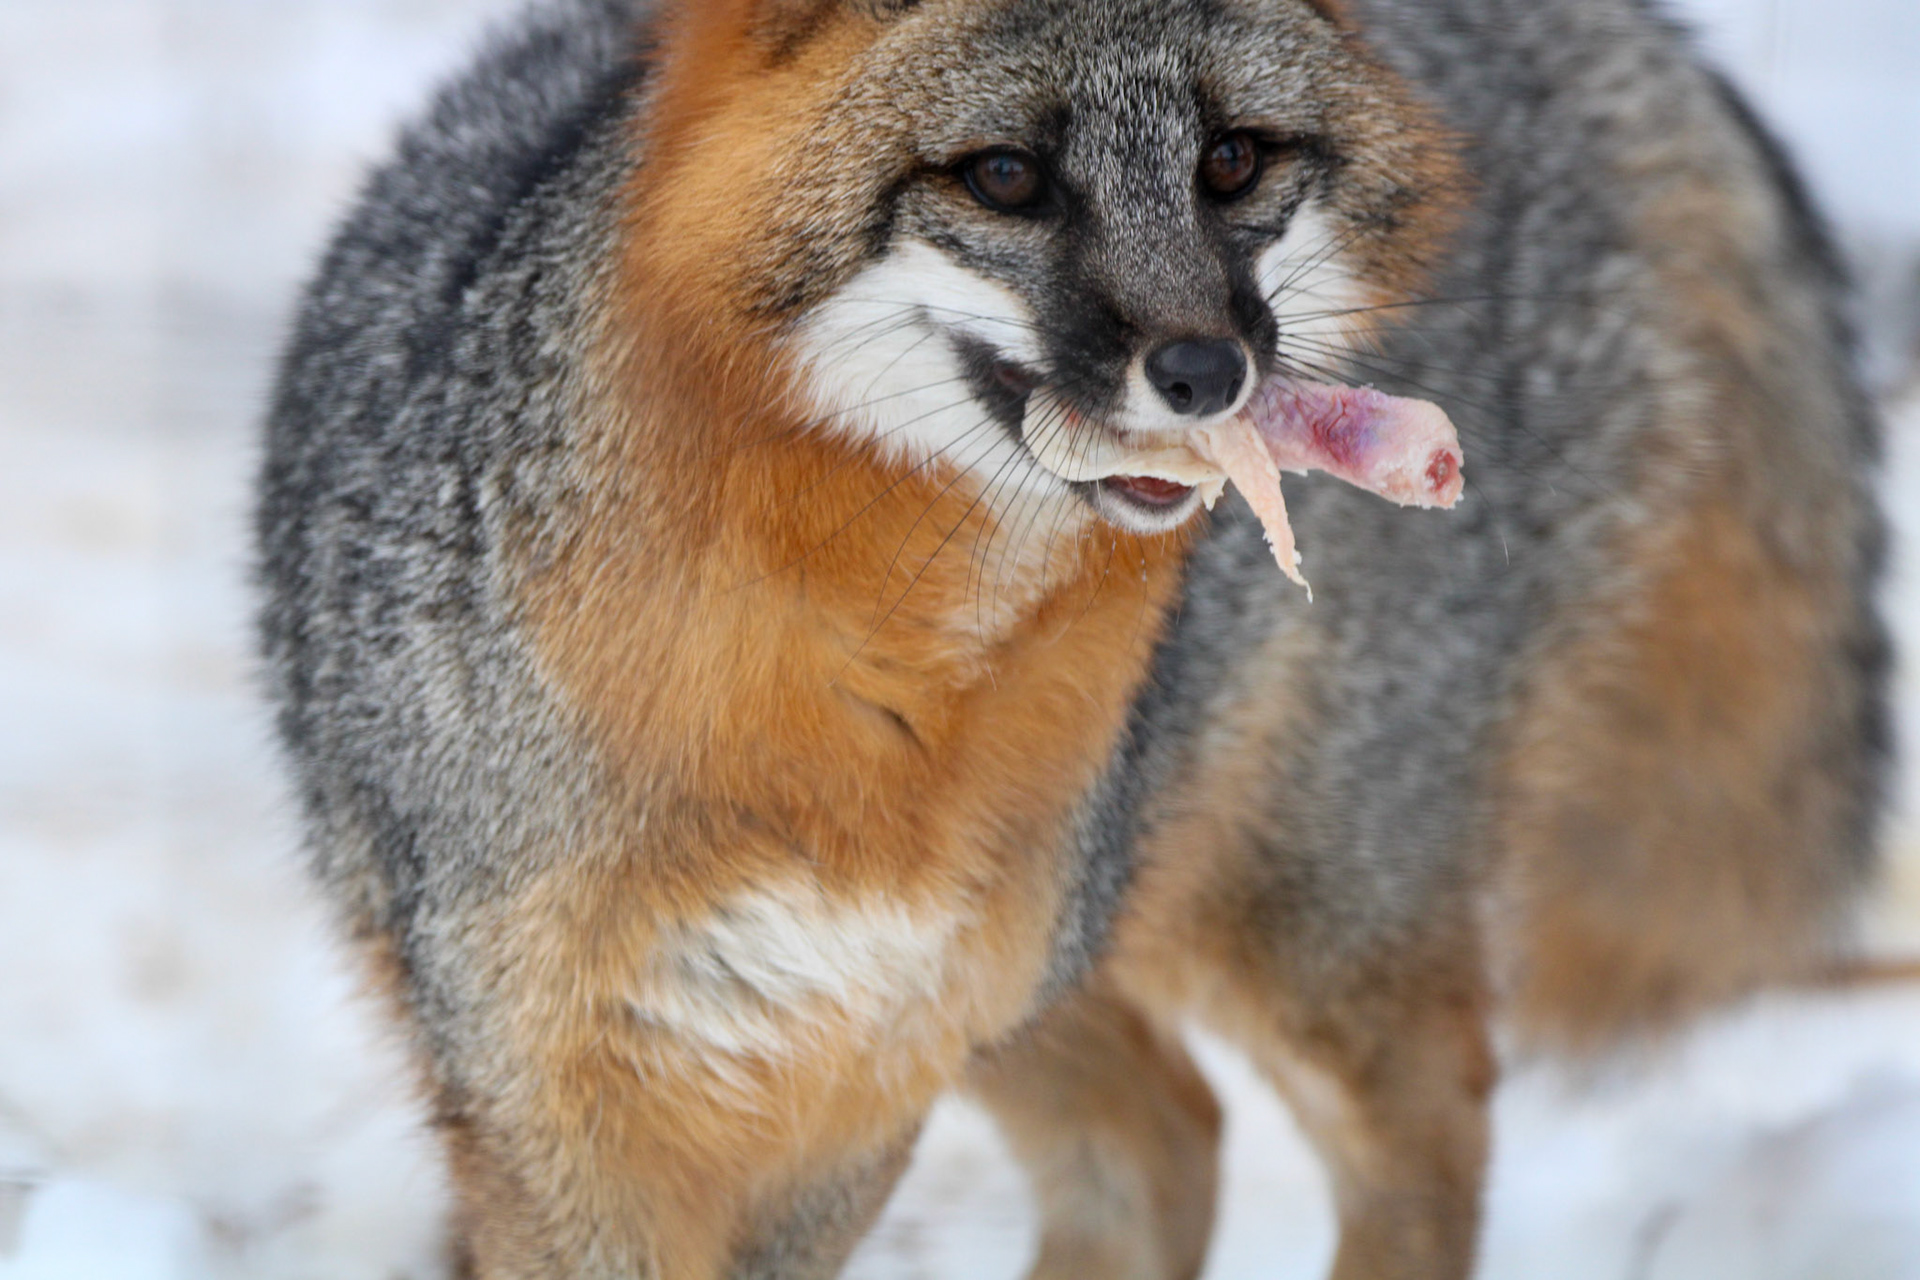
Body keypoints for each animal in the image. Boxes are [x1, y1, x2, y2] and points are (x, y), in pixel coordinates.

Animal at [254, 0, 1888, 1277]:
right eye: (1005, 178)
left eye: (1230, 160)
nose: (1212, 371)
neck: (870, 698)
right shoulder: (568, 1107)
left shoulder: (833, 1099)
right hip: (1061, 971)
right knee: (1168, 1135)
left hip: (1275, 925)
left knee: (1411, 1137)